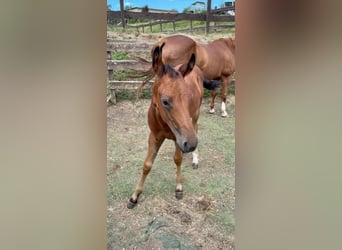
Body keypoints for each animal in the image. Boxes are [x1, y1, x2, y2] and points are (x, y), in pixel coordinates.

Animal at [127, 43, 203, 209]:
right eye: (165, 101)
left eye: (188, 97)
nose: (191, 144)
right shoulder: (154, 136)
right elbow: (147, 164)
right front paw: (134, 196)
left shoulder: (178, 138)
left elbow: (177, 159)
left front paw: (179, 188)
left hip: (195, 116)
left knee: (196, 128)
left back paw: (195, 159)